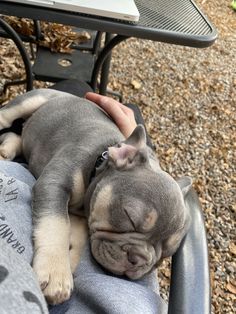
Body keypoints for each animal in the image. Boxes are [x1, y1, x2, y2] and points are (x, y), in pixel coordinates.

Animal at [0, 88, 192, 304]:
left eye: (163, 256)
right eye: (129, 218)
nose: (139, 260)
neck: (99, 162)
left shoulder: (80, 217)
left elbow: (77, 235)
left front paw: (70, 260)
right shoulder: (54, 183)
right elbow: (56, 224)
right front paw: (56, 271)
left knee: (17, 135)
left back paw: (8, 148)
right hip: (34, 100)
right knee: (5, 118)